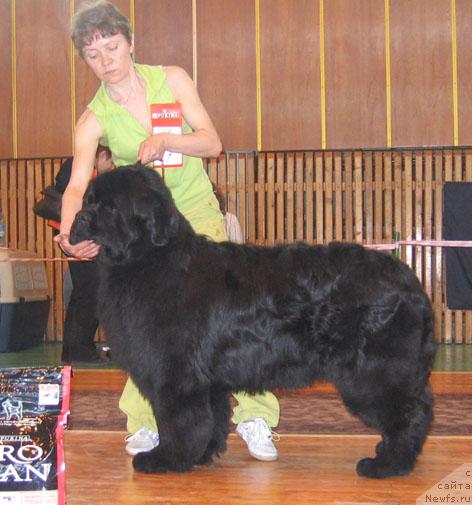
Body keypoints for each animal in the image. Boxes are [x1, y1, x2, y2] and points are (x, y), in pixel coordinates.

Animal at [71, 164, 438, 476]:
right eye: (88, 200)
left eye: (109, 207)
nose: (78, 218)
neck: (150, 258)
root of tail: (409, 281)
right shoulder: (207, 379)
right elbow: (210, 419)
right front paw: (202, 455)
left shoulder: (176, 374)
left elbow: (178, 421)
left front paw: (168, 459)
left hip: (372, 373)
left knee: (408, 414)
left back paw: (387, 465)